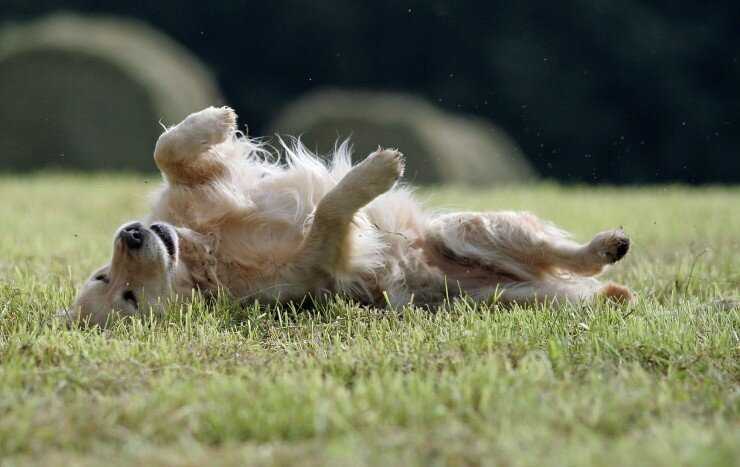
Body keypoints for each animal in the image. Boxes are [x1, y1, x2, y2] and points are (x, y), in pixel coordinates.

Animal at [68, 106, 632, 326]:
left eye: (103, 276)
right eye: (127, 298)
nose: (131, 234)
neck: (204, 252)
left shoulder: (196, 190)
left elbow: (167, 150)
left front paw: (214, 121)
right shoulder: (319, 264)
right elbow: (328, 211)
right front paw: (375, 173)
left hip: (465, 229)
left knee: (564, 255)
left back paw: (608, 245)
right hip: (499, 290)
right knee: (581, 274)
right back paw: (609, 266)